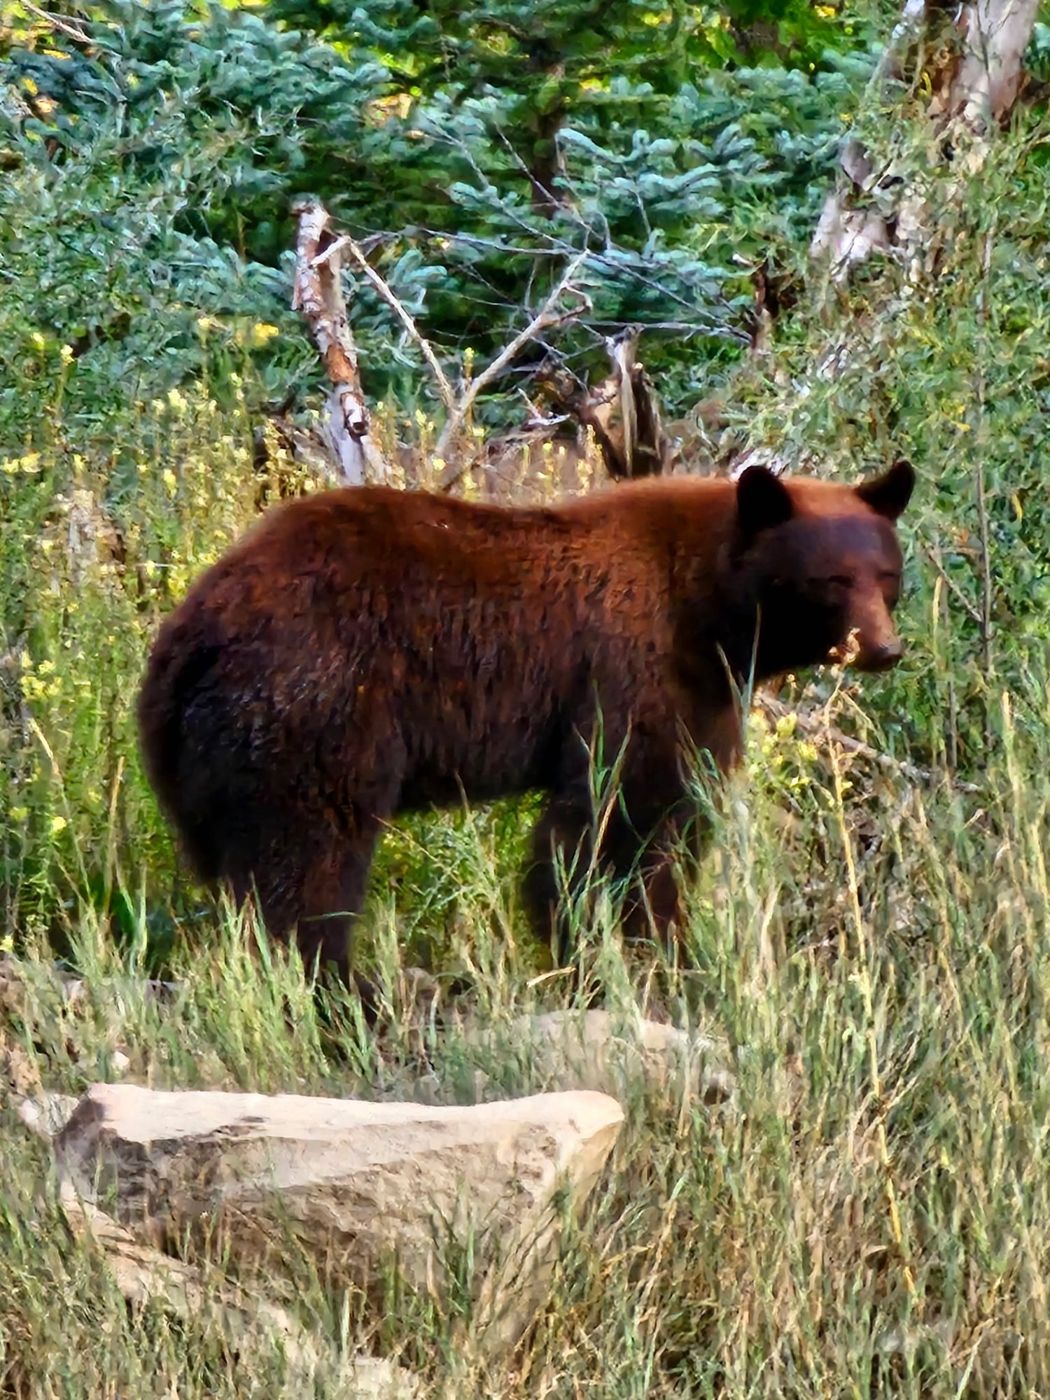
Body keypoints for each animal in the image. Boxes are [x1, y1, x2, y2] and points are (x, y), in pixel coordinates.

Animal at [137, 459, 915, 996]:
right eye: (830, 580)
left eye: (886, 573)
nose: (884, 649)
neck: (709, 611)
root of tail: (190, 630)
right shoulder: (635, 668)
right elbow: (612, 818)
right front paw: (612, 949)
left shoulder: (707, 698)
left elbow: (677, 819)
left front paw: (664, 947)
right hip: (317, 703)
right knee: (309, 857)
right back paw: (345, 991)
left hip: (212, 762)